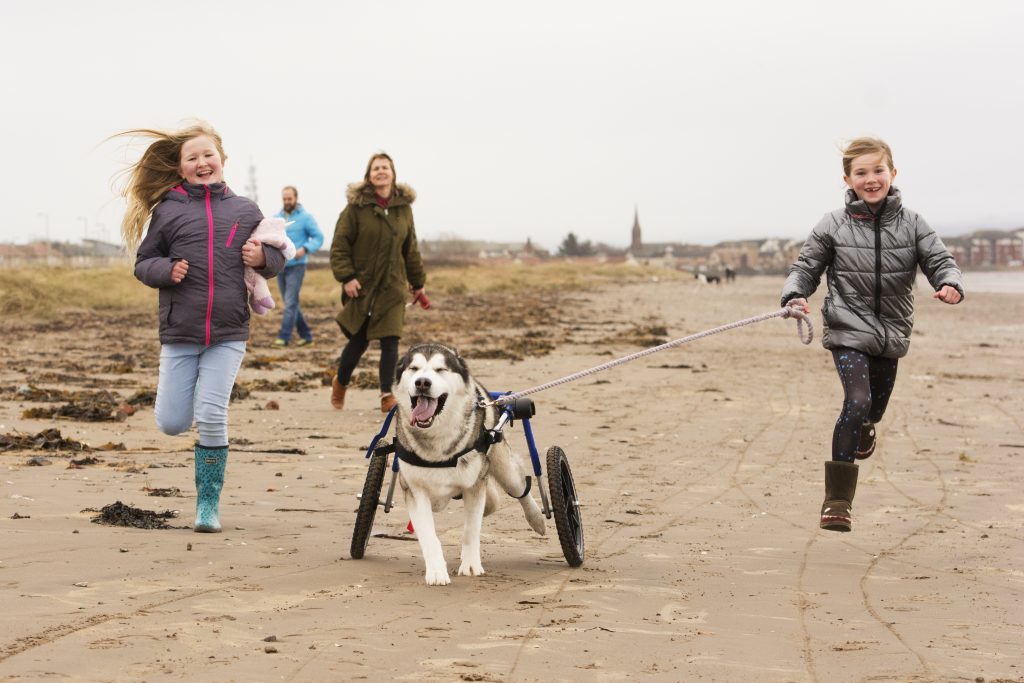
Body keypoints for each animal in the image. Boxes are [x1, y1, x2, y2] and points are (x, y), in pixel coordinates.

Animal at [395, 344, 548, 585]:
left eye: (440, 369)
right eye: (414, 368)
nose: (422, 382)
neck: (436, 438)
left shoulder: (475, 485)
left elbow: (471, 529)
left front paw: (470, 565)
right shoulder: (414, 489)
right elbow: (428, 535)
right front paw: (436, 571)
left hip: (502, 466)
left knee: (520, 488)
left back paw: (537, 519)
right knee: (492, 500)